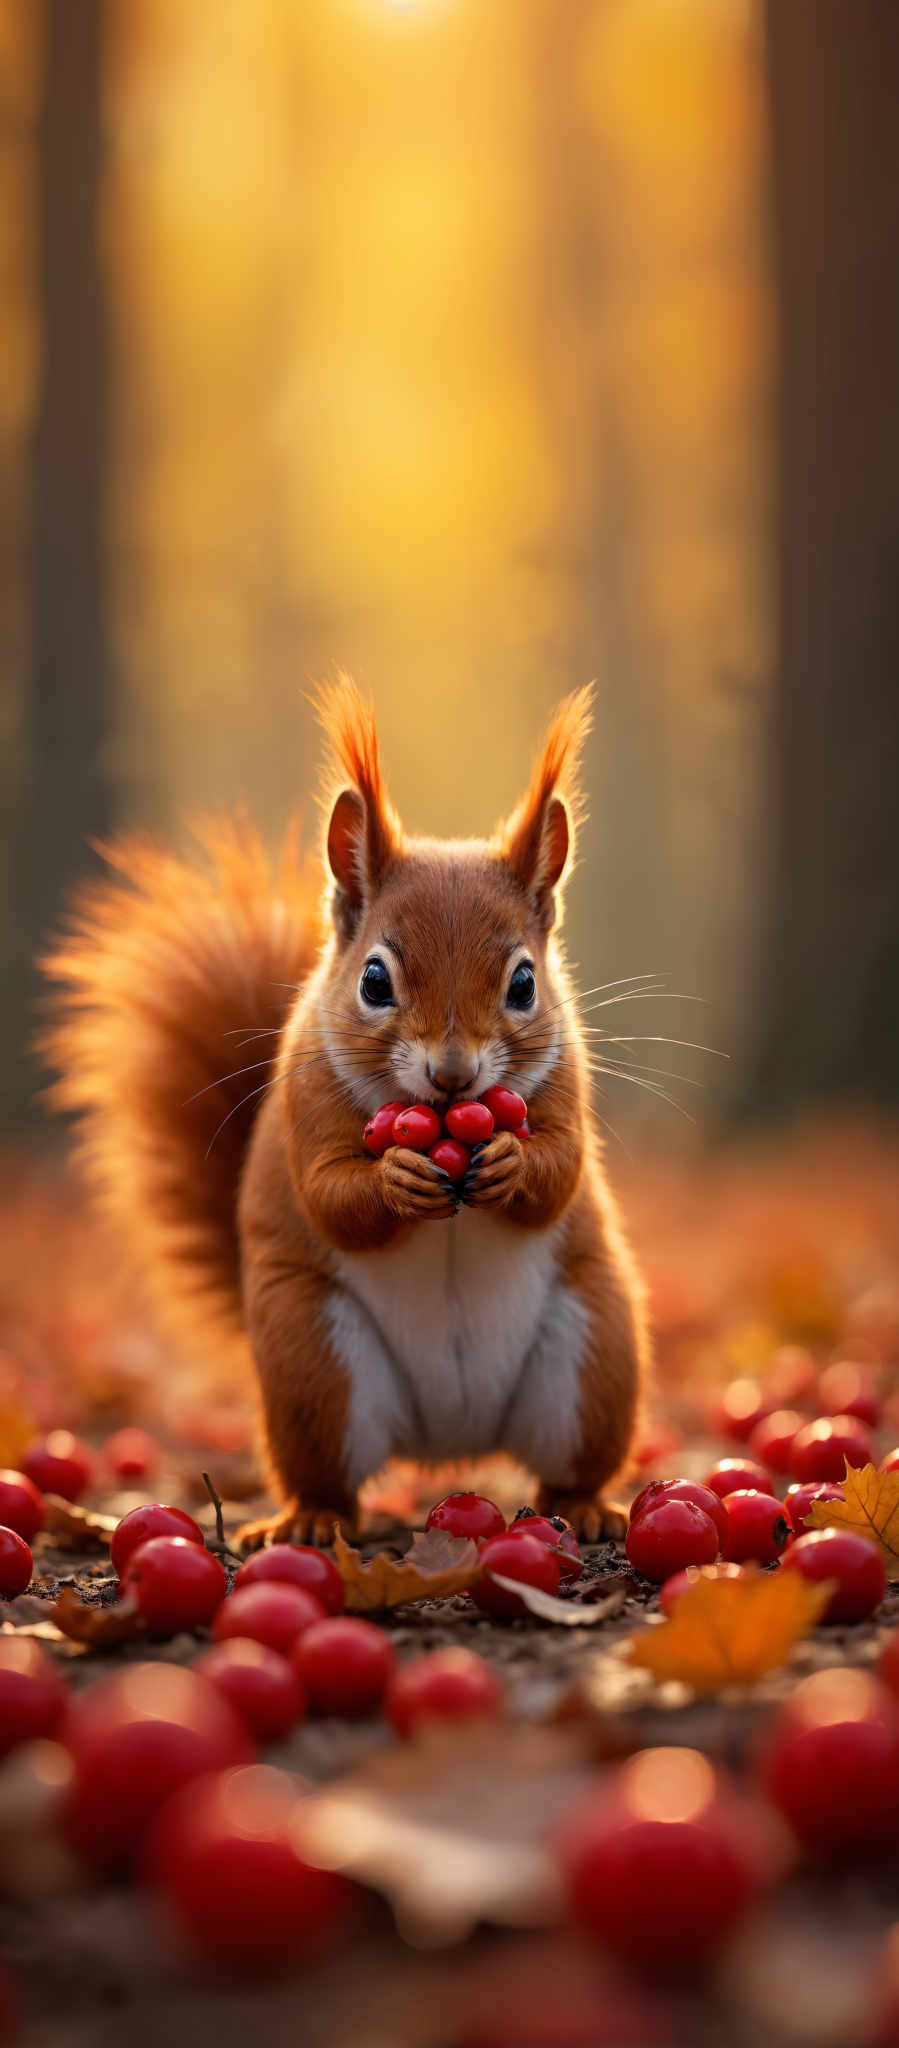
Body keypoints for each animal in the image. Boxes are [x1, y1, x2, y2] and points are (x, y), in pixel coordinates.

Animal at [45, 679, 647, 1540]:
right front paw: (396, 1178)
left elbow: (559, 1170)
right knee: (328, 1475)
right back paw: (311, 1521)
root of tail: (446, 1445)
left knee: (570, 1462)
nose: (452, 1075)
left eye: (525, 983)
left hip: (593, 1353)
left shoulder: (567, 1082)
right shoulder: (307, 1101)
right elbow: (331, 1195)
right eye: (374, 980)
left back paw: (585, 1505)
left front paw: (510, 1162)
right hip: (312, 1366)